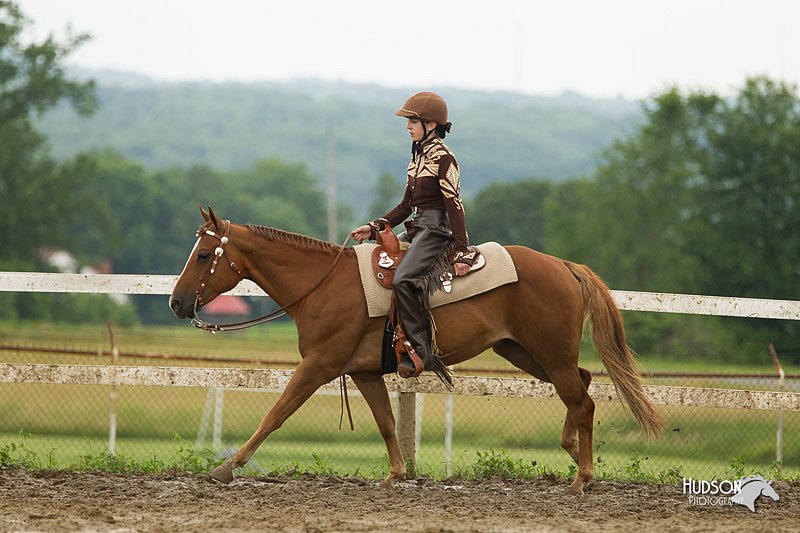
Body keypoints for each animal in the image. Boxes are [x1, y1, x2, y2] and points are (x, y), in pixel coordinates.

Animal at [172, 207, 664, 494]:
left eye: (203, 255)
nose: (177, 303)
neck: (324, 286)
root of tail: (564, 265)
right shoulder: (363, 372)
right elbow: (387, 421)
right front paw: (396, 473)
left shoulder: (319, 365)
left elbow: (276, 413)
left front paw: (228, 467)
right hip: (524, 352)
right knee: (582, 386)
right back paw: (572, 453)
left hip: (549, 353)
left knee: (581, 401)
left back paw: (582, 478)